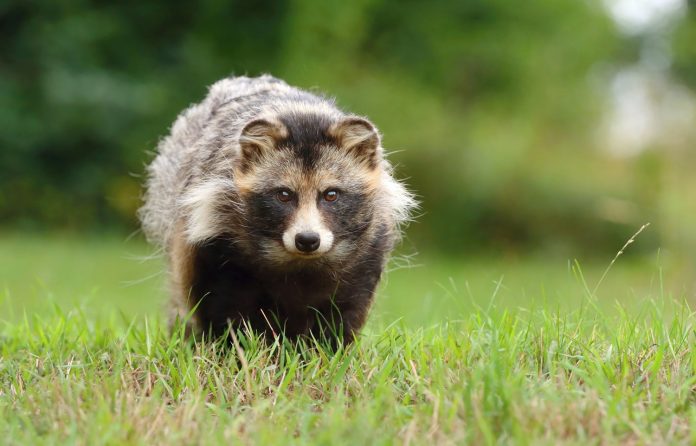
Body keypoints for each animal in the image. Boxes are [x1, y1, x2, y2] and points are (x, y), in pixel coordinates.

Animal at [139, 75, 415, 343]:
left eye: (331, 194)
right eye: (284, 195)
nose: (307, 240)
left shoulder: (367, 253)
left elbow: (345, 310)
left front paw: (330, 349)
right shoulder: (215, 239)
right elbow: (222, 305)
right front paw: (234, 348)